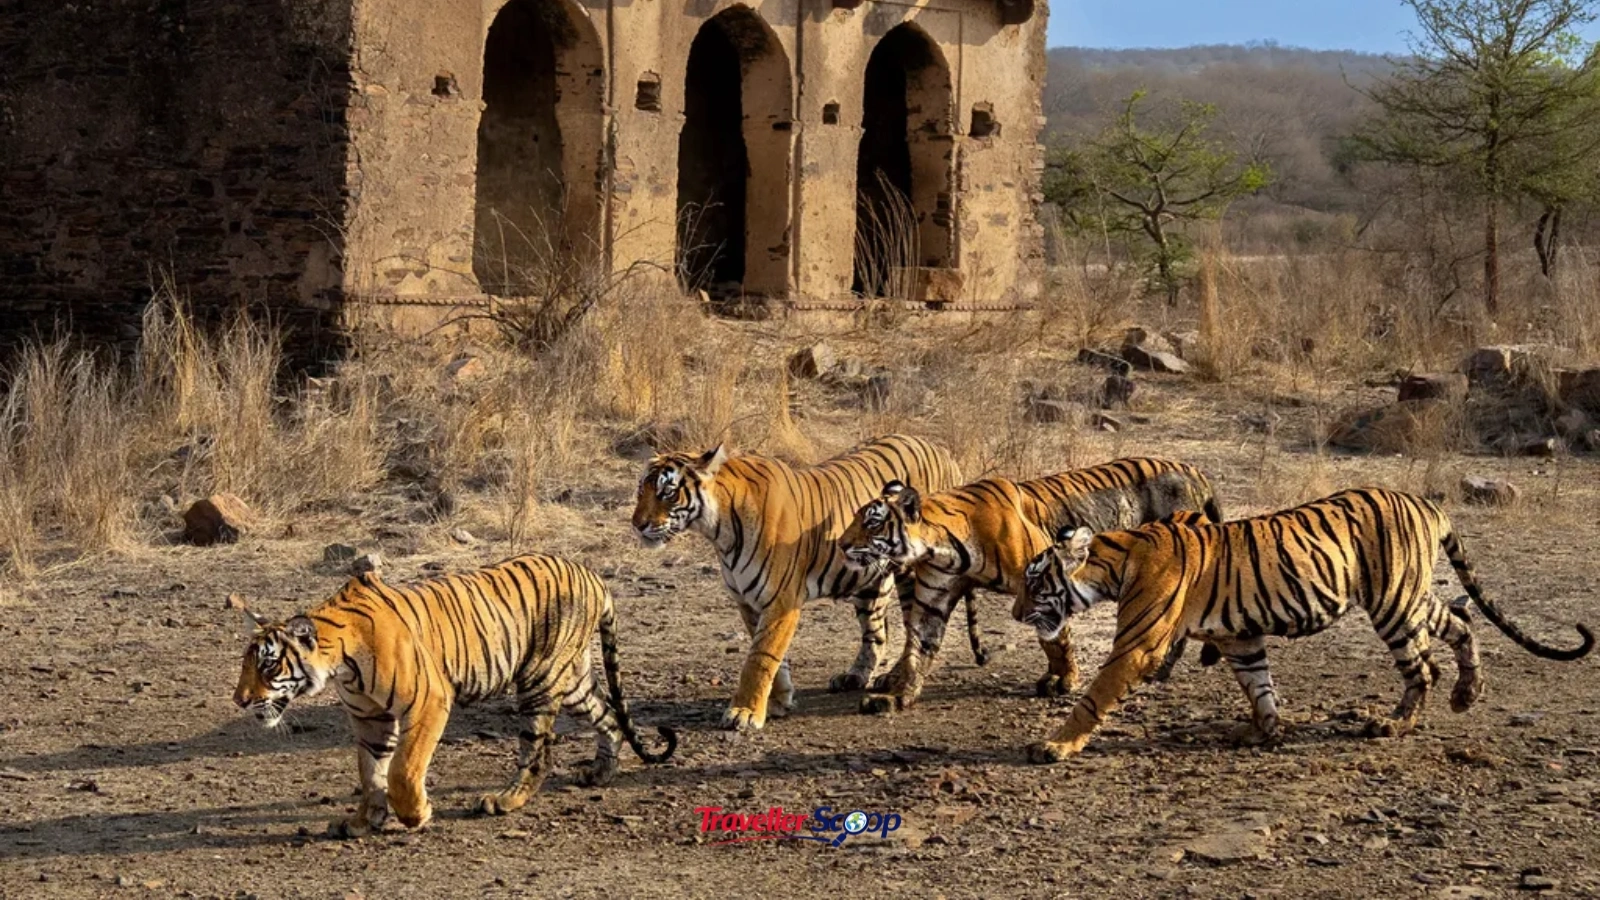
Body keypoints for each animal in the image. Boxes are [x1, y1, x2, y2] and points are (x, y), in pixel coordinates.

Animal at [232, 555, 677, 837]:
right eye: (246, 663)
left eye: (268, 665)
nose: (239, 701)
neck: (340, 664)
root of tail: (591, 573)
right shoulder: (371, 720)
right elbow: (371, 774)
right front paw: (362, 822)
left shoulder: (428, 701)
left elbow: (402, 770)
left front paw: (416, 815)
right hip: (572, 681)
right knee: (608, 716)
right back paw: (600, 773)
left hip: (539, 679)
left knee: (538, 752)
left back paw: (505, 800)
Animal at [631, 434, 983, 731]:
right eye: (640, 491)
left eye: (667, 492)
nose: (637, 525)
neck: (719, 531)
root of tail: (942, 450)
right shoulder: (749, 602)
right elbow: (772, 657)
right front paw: (778, 701)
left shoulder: (781, 601)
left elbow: (759, 658)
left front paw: (744, 712)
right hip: (869, 582)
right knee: (876, 633)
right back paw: (854, 676)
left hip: (911, 573)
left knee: (915, 631)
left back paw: (892, 678)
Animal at [836, 457, 1223, 714]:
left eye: (872, 524)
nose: (840, 544)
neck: (942, 546)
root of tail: (1195, 470)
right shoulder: (934, 597)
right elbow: (918, 646)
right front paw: (898, 695)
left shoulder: (1047, 581)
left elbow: (1055, 640)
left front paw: (1065, 680)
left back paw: (1162, 669)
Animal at [1018, 488, 1595, 764]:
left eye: (1035, 582)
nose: (1016, 613)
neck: (1117, 561)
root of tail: (1426, 502)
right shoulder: (1240, 637)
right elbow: (1258, 685)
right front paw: (1264, 730)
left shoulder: (1136, 646)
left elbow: (1093, 697)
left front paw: (1054, 746)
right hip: (1411, 594)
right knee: (1459, 620)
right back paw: (1466, 694)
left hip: (1392, 601)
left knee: (1422, 666)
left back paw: (1394, 724)